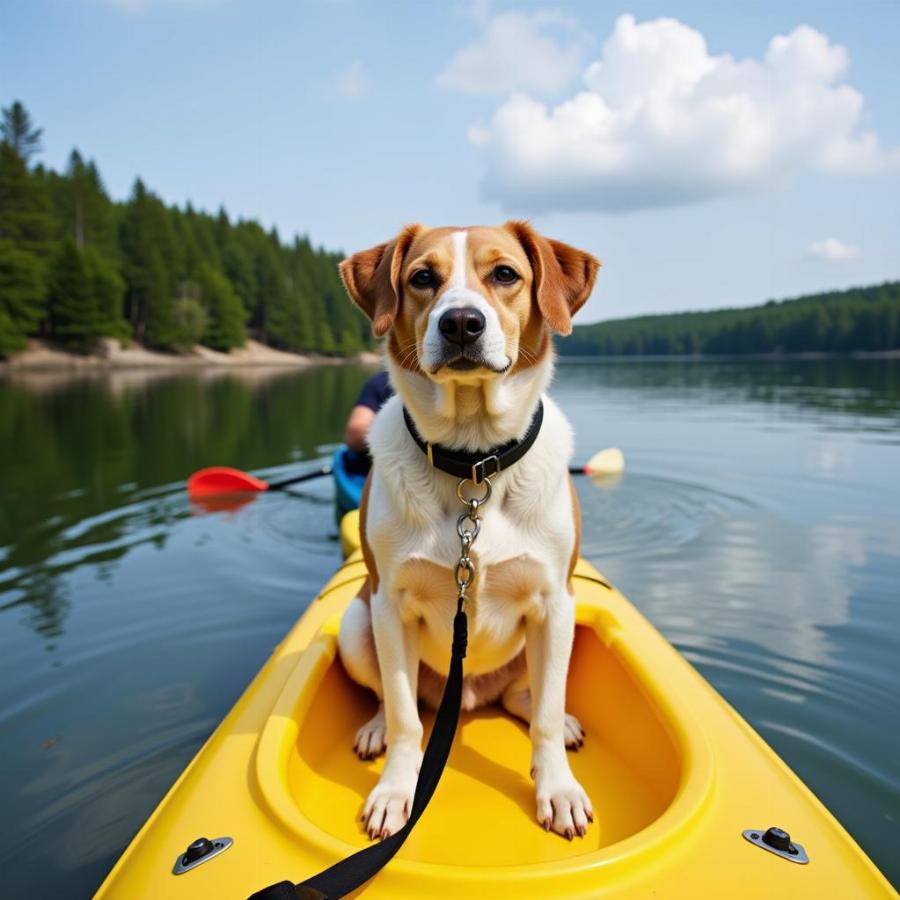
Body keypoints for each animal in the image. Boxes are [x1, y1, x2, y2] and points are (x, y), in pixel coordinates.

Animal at [336, 223, 596, 844]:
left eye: (504, 274)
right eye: (421, 278)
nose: (460, 322)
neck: (474, 465)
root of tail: (472, 695)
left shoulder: (556, 601)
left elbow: (543, 716)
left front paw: (558, 788)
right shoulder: (388, 605)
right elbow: (405, 717)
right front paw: (394, 791)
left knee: (530, 696)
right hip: (355, 625)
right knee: (390, 695)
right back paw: (375, 728)